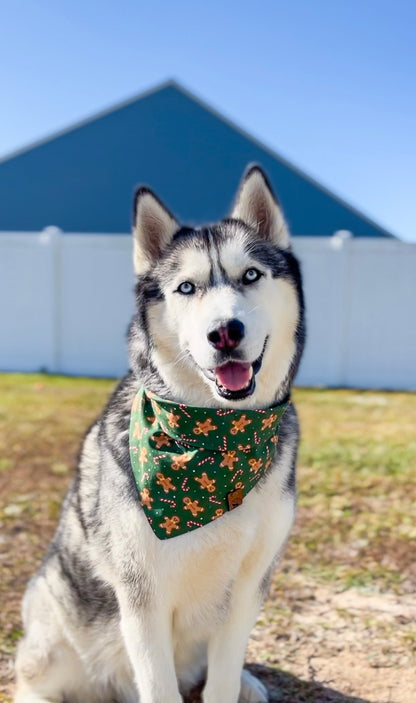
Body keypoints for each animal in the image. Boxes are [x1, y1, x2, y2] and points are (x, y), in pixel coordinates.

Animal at [14, 166, 306, 703]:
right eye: (187, 288)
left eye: (251, 275)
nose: (225, 332)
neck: (215, 438)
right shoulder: (142, 596)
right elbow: (160, 685)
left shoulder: (249, 588)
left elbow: (222, 678)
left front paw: (233, 683)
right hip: (55, 619)